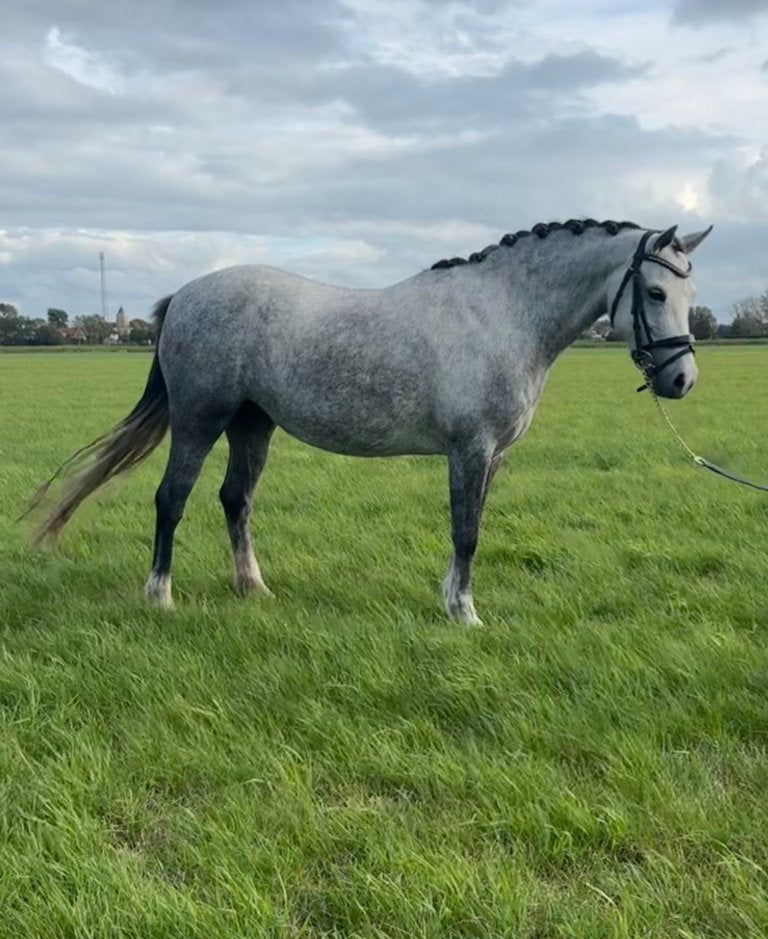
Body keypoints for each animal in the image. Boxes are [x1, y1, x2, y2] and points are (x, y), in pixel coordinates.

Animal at [29, 218, 712, 624]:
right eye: (655, 293)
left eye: (688, 293)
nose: (682, 381)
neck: (503, 312)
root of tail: (187, 295)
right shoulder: (470, 448)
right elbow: (467, 531)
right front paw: (465, 614)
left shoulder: (492, 456)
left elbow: (470, 528)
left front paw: (451, 600)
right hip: (200, 420)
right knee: (171, 499)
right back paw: (161, 597)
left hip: (253, 424)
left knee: (235, 500)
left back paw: (253, 588)